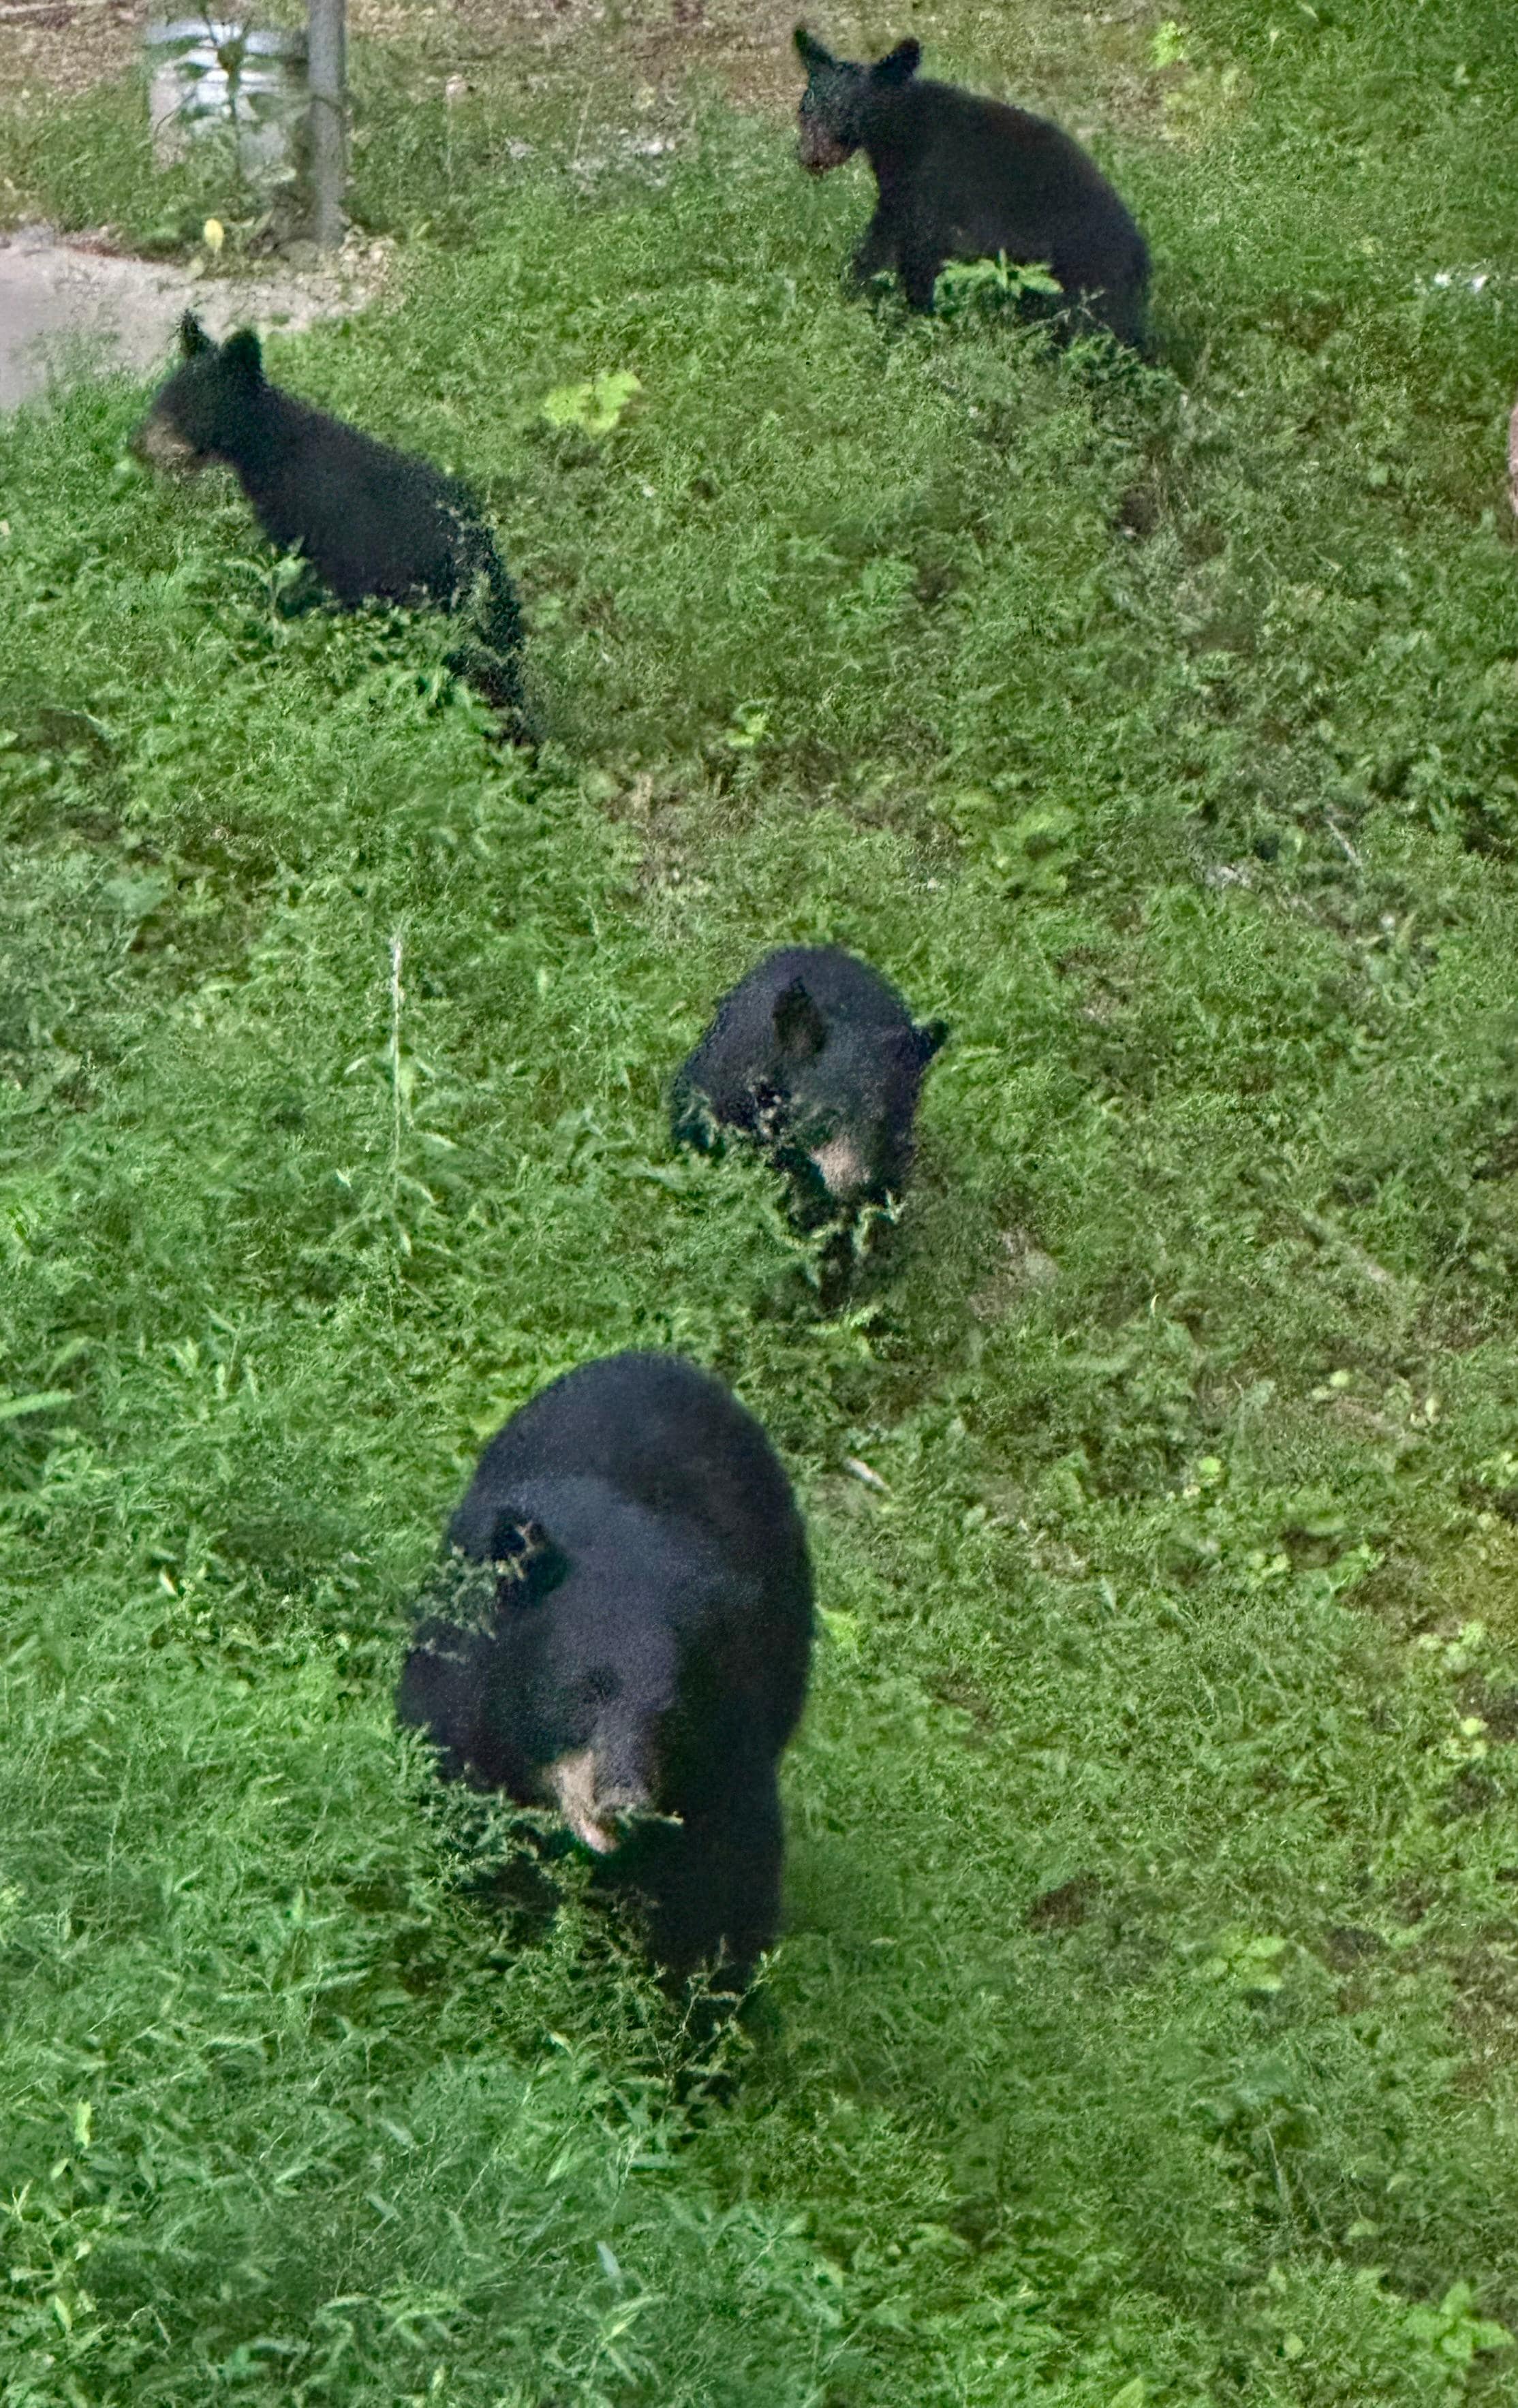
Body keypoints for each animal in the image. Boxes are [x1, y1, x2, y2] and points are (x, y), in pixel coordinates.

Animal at [396, 1352, 814, 1987]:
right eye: (587, 1688)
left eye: (675, 1711)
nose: (623, 1801)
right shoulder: (460, 1706)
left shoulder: (729, 1754)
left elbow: (721, 1888)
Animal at [793, 27, 1150, 345]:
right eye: (805, 109)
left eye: (848, 113)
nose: (811, 156)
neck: (900, 133)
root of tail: (1142, 262)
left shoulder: (929, 185)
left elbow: (911, 249)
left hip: (1077, 275)